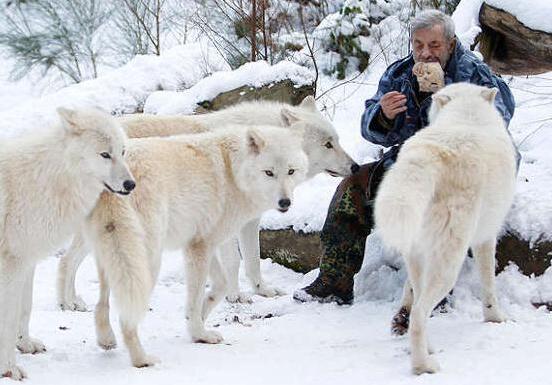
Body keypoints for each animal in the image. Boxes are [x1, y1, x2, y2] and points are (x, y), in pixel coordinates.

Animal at [0, 107, 135, 378]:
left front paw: (25, 344)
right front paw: (9, 369)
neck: (50, 178)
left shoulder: (27, 261)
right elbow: (7, 321)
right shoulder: (12, 265)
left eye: (122, 151)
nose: (130, 184)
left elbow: (25, 308)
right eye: (105, 154)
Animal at [58, 95, 360, 308]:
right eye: (327, 144)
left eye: (337, 140)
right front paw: (236, 296)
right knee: (67, 260)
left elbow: (253, 260)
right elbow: (234, 262)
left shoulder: (249, 221)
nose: (356, 166)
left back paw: (67, 302)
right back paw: (70, 303)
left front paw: (262, 291)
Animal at [87, 124, 310, 366]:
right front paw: (199, 334)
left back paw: (106, 340)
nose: (285, 202)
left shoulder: (200, 243)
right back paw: (141, 359)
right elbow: (197, 297)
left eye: (291, 171)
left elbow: (221, 286)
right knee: (127, 318)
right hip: (147, 262)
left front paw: (196, 319)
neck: (233, 171)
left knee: (101, 305)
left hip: (113, 257)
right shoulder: (200, 247)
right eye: (268, 173)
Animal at [376, 83, 516, 372]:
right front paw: (495, 318)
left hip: (419, 255)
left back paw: (426, 349)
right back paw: (424, 366)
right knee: (420, 314)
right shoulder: (486, 238)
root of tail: (428, 156)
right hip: (449, 263)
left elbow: (408, 289)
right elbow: (489, 283)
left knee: (418, 304)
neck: (467, 115)